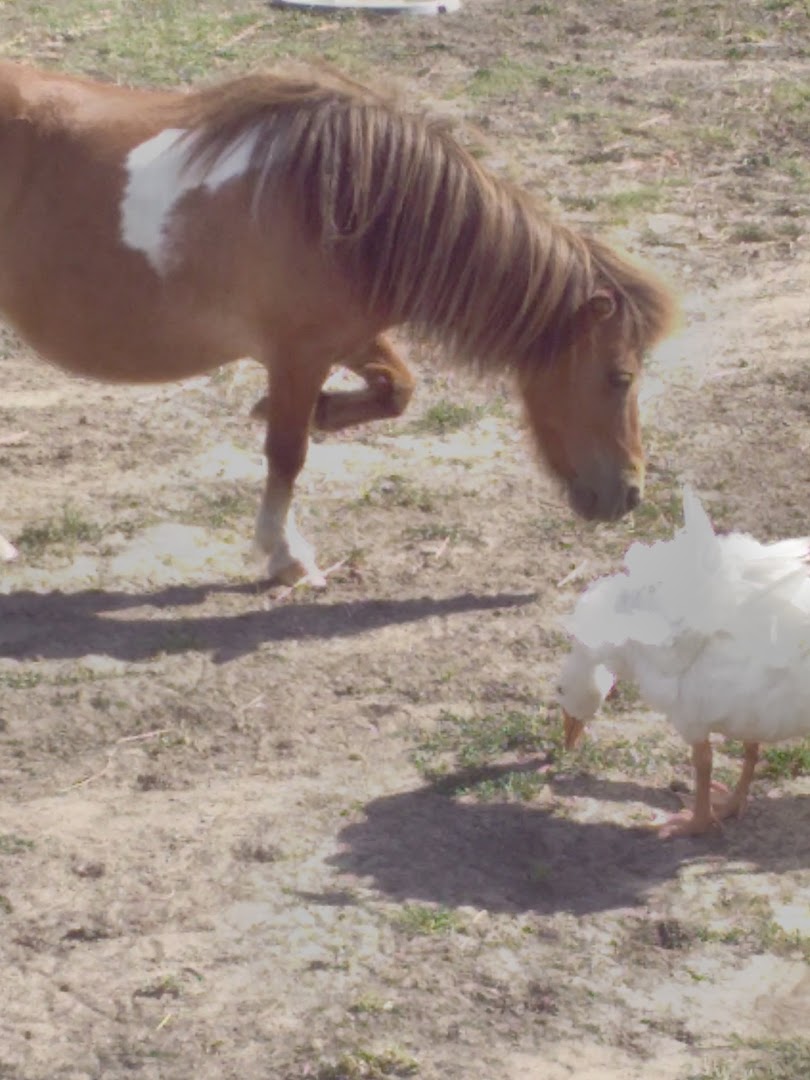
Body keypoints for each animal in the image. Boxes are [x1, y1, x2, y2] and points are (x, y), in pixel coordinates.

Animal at [0, 63, 678, 587]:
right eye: (620, 377)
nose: (631, 495)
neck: (349, 201)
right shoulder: (298, 354)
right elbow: (288, 452)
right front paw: (285, 555)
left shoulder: (345, 339)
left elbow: (397, 391)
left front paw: (321, 411)